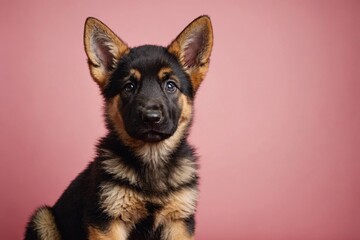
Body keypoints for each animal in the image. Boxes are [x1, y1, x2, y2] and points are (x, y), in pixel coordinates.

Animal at [25, 15, 214, 240]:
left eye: (170, 86)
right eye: (129, 87)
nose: (151, 118)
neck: (152, 158)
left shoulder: (178, 223)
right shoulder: (107, 221)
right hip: (43, 218)